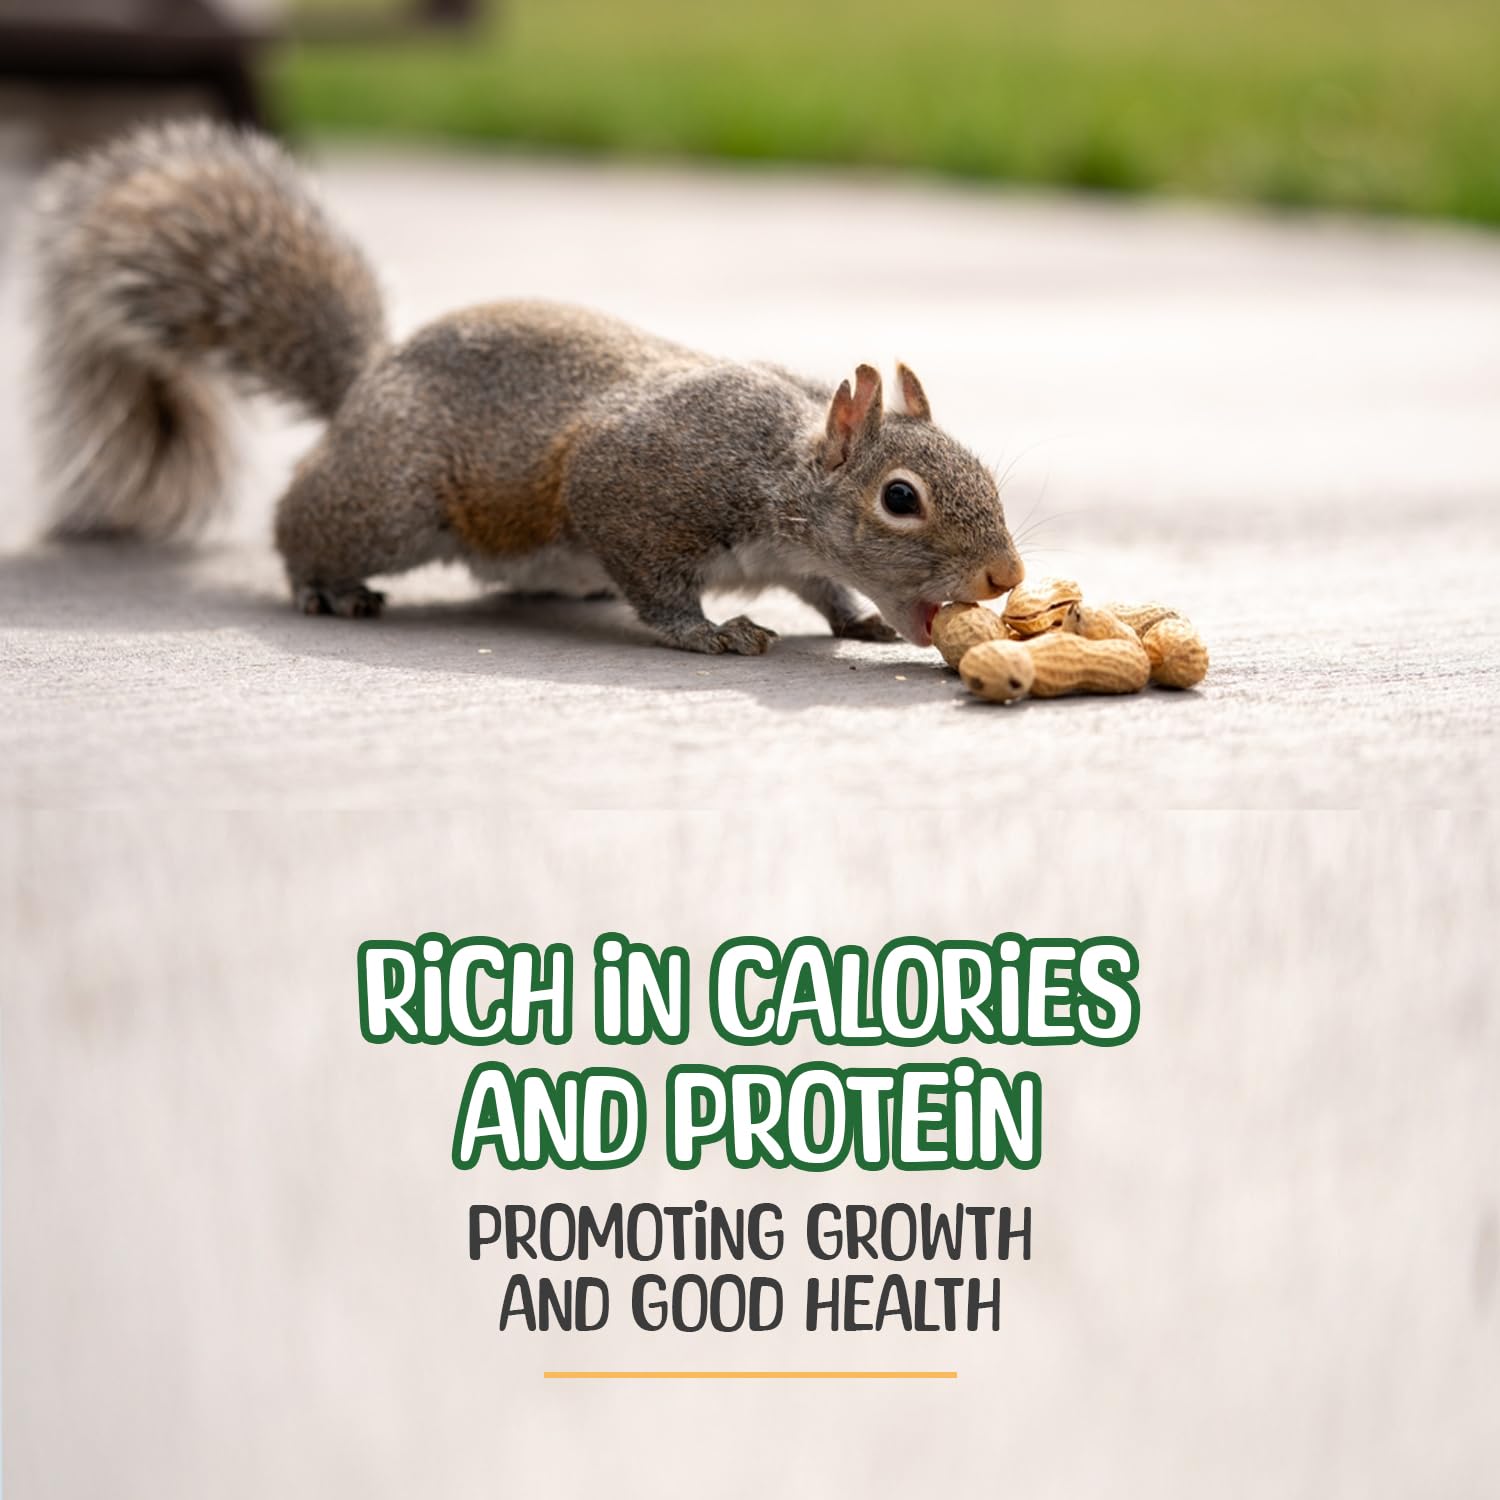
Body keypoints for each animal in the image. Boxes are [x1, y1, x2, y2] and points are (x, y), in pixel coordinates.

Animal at [26, 120, 1024, 654]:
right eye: (901, 499)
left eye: (983, 468)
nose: (1006, 574)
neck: (782, 466)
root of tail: (366, 381)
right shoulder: (638, 485)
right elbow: (657, 582)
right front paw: (709, 632)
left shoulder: (794, 553)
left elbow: (825, 588)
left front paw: (856, 622)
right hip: (390, 503)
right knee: (300, 520)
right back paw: (326, 585)